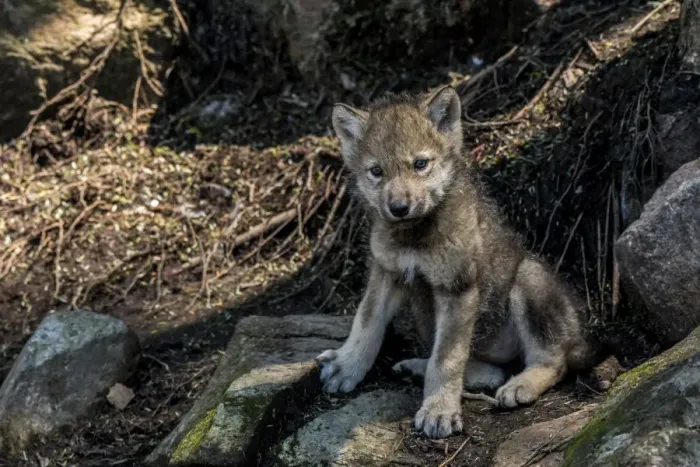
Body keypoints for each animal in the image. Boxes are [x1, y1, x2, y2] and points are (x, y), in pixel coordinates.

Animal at [316, 85, 611, 439]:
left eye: (420, 164)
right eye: (376, 172)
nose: (398, 208)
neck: (414, 236)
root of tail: (579, 336)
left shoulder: (457, 288)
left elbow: (447, 358)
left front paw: (439, 410)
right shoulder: (387, 271)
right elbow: (366, 322)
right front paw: (347, 365)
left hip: (528, 279)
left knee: (552, 360)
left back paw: (519, 385)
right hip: (426, 316)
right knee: (492, 369)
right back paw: (422, 367)